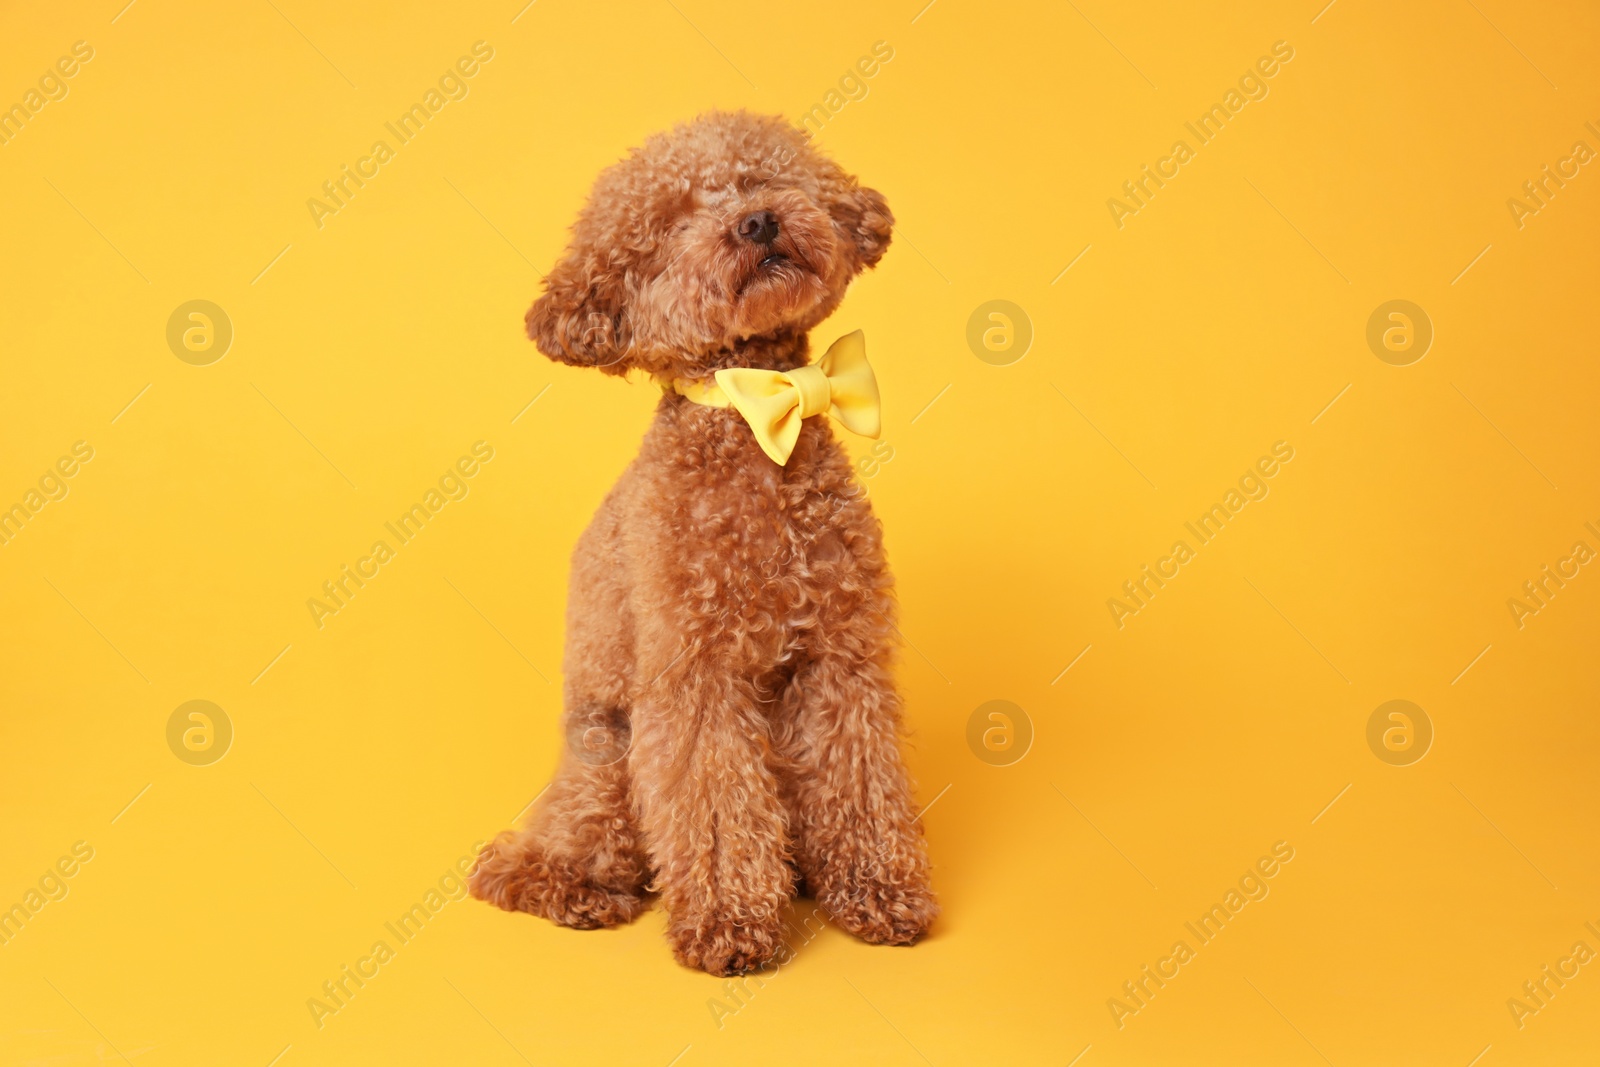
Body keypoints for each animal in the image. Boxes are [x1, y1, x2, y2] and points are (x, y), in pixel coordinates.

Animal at [464, 108, 934, 979]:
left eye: (759, 179)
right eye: (670, 225)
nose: (756, 222)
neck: (755, 415)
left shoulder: (840, 658)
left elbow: (859, 779)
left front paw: (880, 893)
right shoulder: (696, 676)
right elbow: (714, 804)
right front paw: (730, 925)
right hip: (605, 759)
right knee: (548, 857)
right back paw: (574, 889)